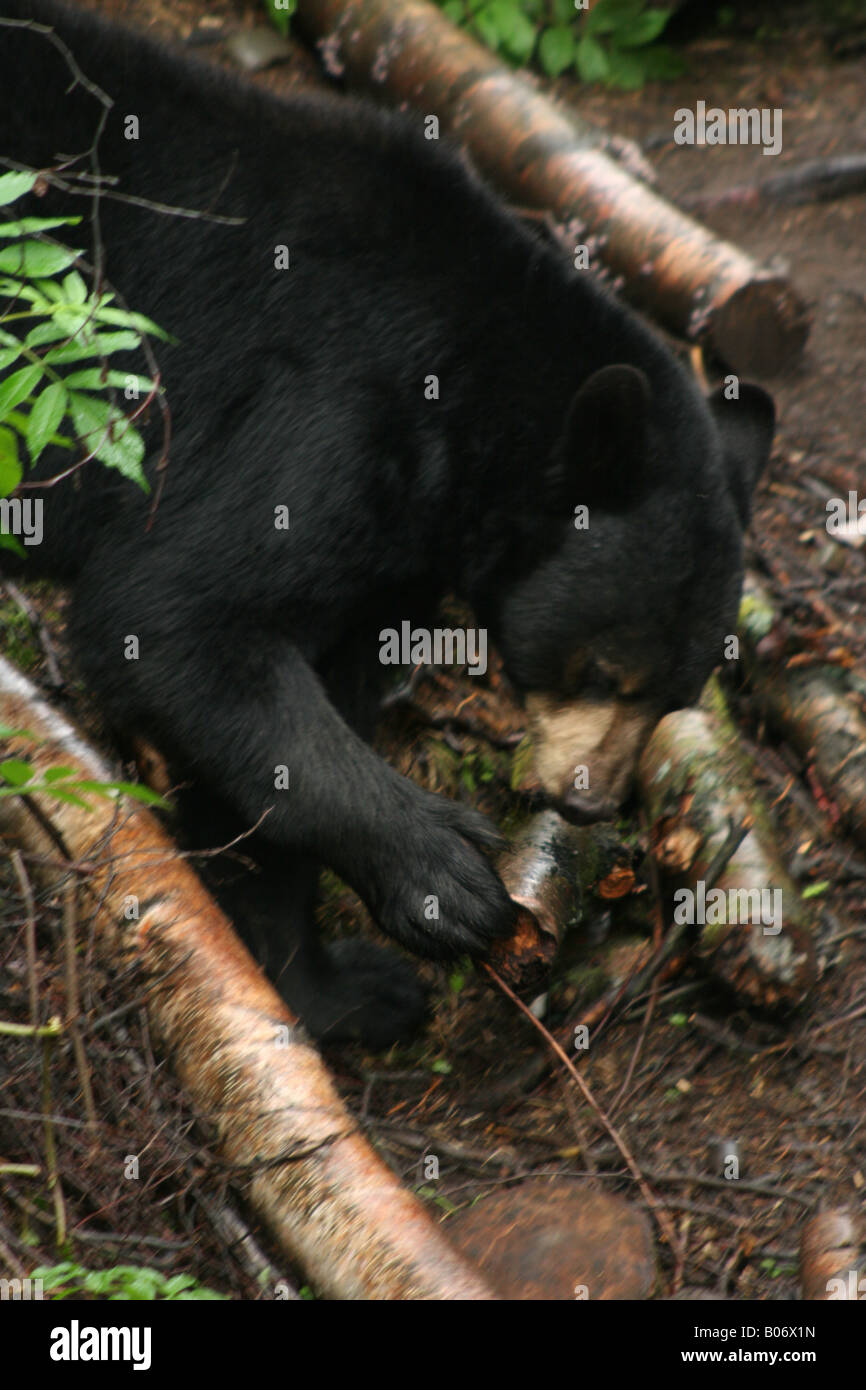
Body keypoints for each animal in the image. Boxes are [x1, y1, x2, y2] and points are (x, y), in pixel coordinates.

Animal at [0, 0, 772, 1045]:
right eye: (605, 671)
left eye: (676, 696)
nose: (587, 803)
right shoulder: (322, 404)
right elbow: (175, 616)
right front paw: (444, 874)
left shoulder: (388, 555)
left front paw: (333, 987)